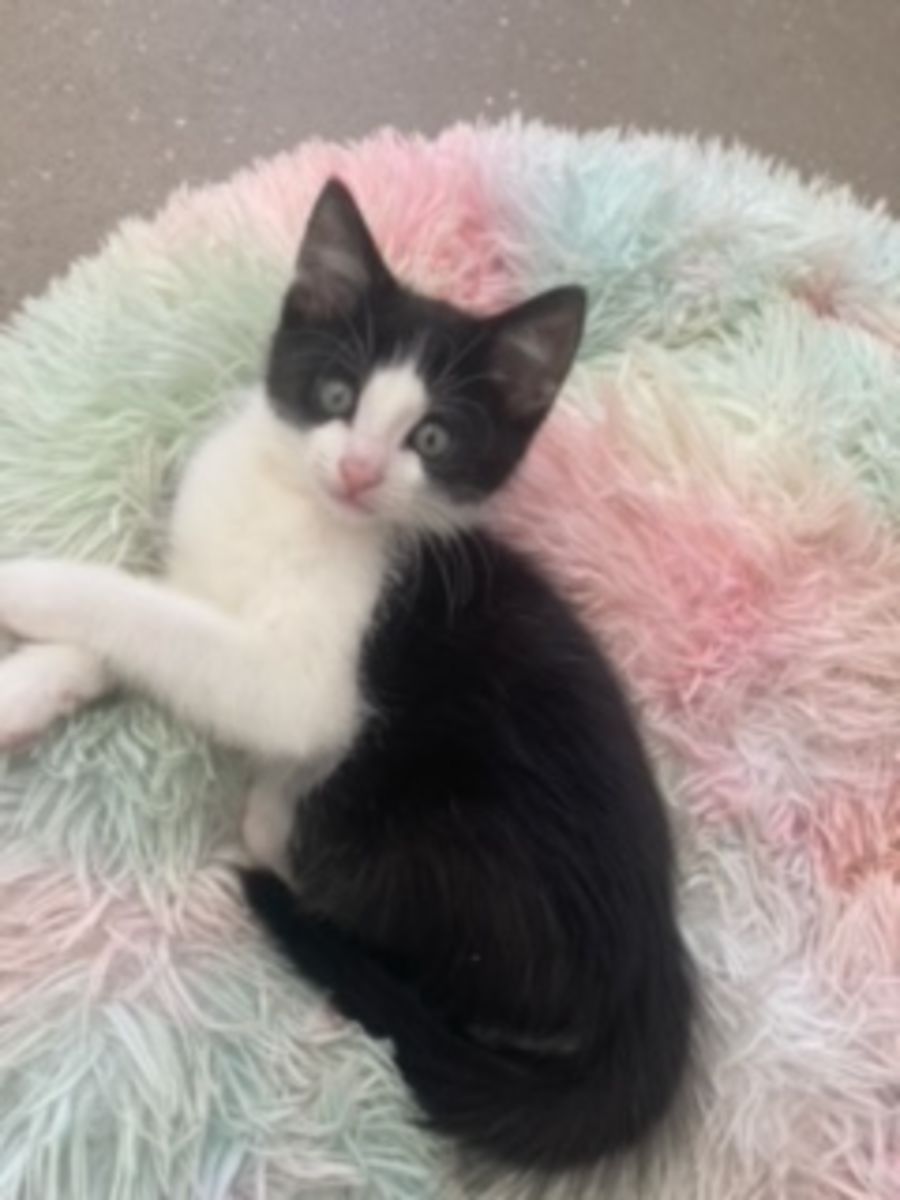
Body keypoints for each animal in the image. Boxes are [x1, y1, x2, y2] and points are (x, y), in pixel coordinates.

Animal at [0, 179, 694, 1173]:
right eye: (336, 394)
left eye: (433, 438)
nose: (362, 471)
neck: (294, 509)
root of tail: (656, 968)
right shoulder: (203, 579)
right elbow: (157, 615)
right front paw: (27, 687)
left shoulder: (303, 684)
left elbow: (151, 619)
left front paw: (27, 583)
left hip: (427, 844)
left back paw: (272, 820)